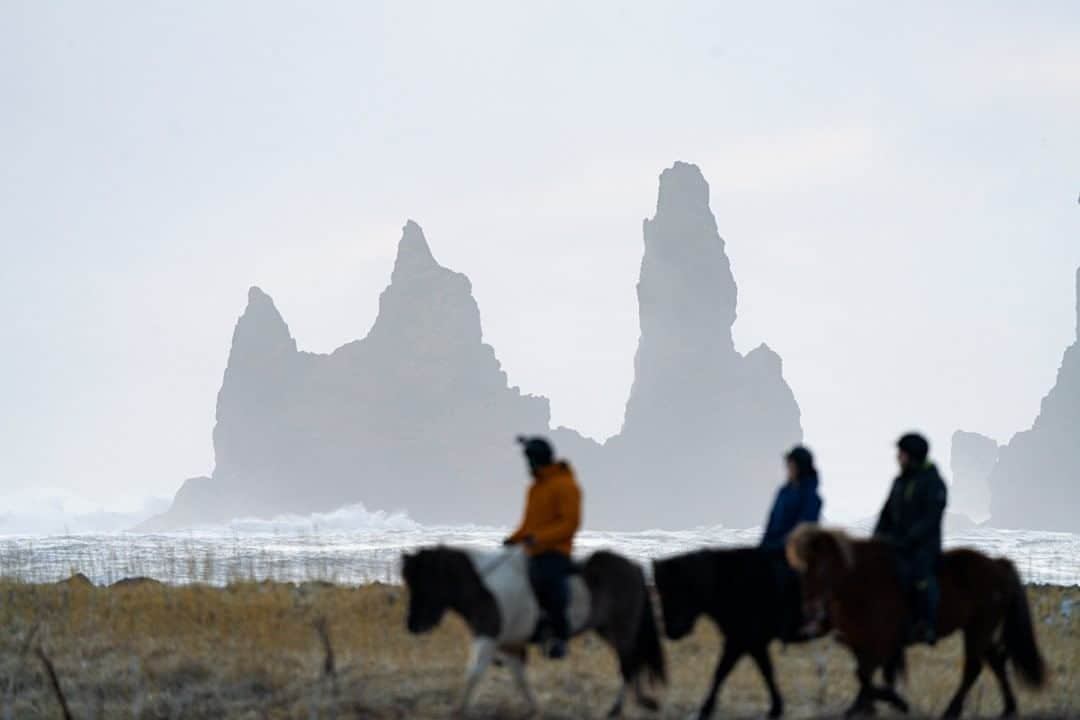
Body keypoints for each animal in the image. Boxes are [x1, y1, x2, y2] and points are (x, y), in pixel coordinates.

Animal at [401, 548, 660, 716]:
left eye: (425, 582)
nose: (413, 625)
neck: (483, 588)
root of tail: (635, 567)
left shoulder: (487, 637)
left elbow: (474, 673)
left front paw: (458, 710)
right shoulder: (509, 644)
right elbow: (520, 678)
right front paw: (534, 709)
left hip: (621, 628)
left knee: (628, 664)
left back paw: (616, 709)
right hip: (607, 629)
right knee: (631, 663)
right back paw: (636, 703)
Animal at [648, 548, 833, 716]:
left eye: (677, 590)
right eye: (661, 591)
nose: (670, 632)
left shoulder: (742, 642)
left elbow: (724, 672)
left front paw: (706, 708)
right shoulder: (750, 643)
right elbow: (762, 672)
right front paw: (776, 707)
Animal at [786, 524, 1045, 720]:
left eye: (823, 566)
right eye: (803, 567)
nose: (809, 610)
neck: (864, 585)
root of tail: (998, 564)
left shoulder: (882, 644)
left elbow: (866, 675)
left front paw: (893, 704)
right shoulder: (863, 644)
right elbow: (866, 674)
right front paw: (868, 707)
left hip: (978, 628)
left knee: (974, 667)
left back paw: (951, 711)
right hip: (979, 630)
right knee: (997, 662)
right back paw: (1008, 709)